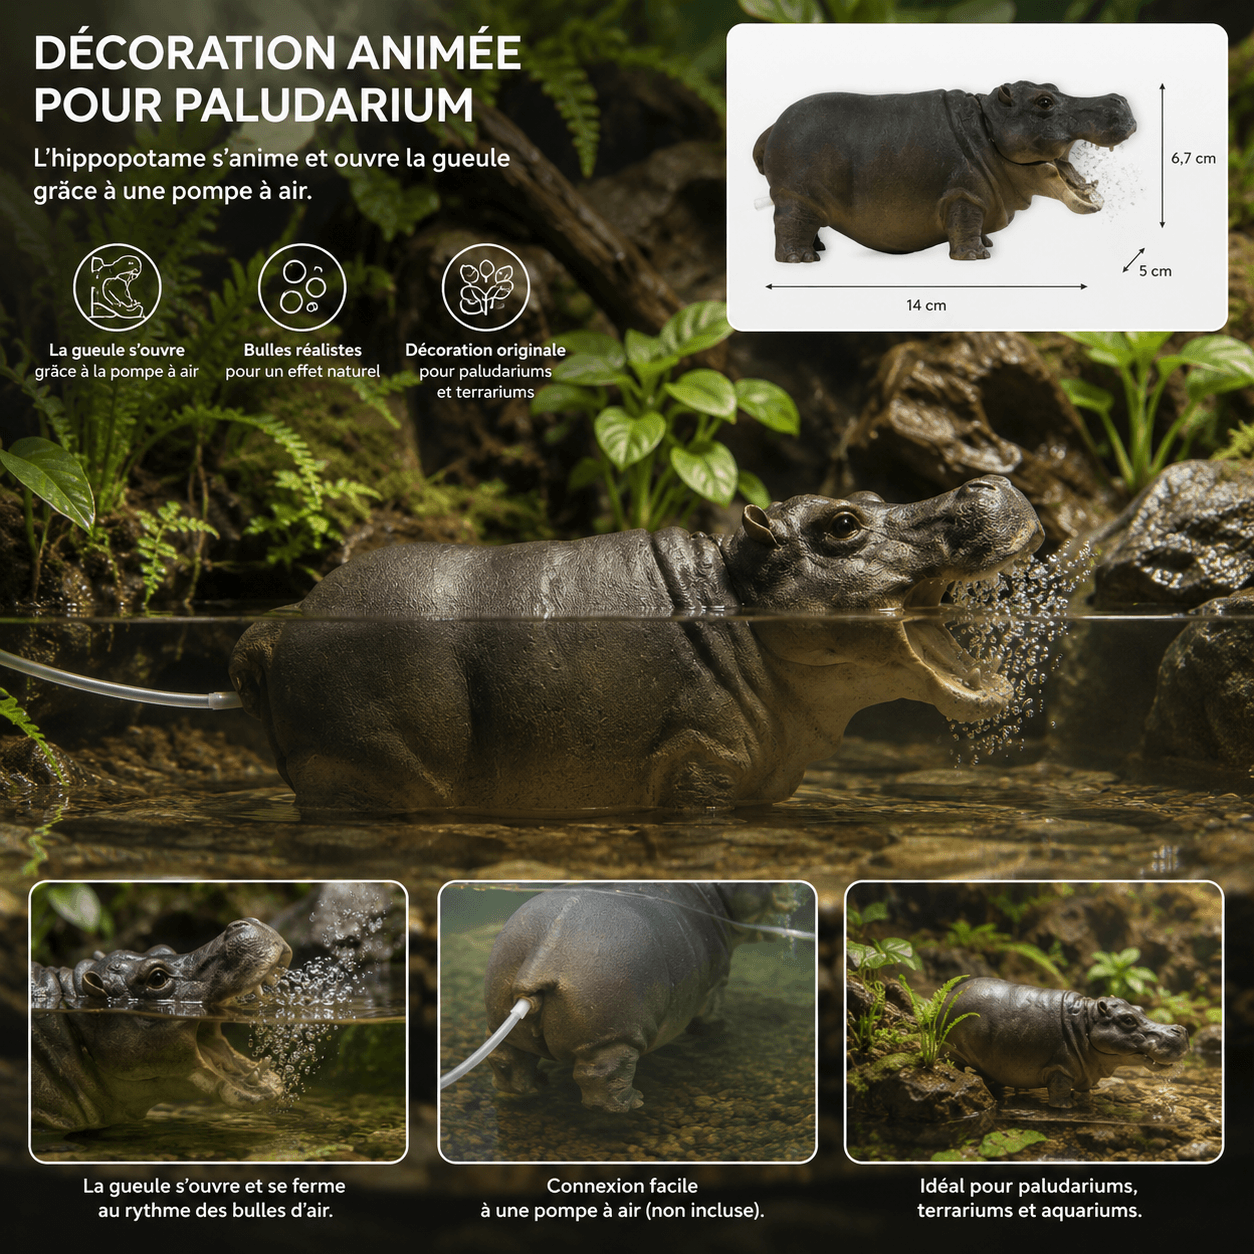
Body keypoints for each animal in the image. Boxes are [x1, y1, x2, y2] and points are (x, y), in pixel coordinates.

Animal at [230, 476, 1043, 813]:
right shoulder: (697, 761)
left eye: (871, 497)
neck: (735, 602)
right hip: (360, 766)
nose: (988, 482)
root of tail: (278, 623)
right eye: (842, 525)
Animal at [482, 882, 800, 1112]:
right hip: (613, 1035)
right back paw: (633, 1102)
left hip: (502, 1012)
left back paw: (537, 1084)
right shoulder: (718, 979)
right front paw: (719, 1030)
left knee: (505, 1058)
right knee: (600, 1075)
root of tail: (543, 951)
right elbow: (712, 1011)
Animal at [753, 81, 1137, 263]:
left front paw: (987, 244)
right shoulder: (964, 194)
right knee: (786, 223)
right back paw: (801, 259)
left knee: (806, 223)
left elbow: (972, 227)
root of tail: (772, 127)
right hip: (794, 195)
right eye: (1044, 102)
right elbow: (965, 223)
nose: (1117, 99)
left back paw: (818, 247)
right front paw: (976, 256)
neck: (988, 127)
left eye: (1053, 87)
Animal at [940, 977, 1189, 1108]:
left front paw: (1086, 1100)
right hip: (952, 1052)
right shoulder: (1060, 1067)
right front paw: (1065, 1107)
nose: (1181, 1031)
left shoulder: (1086, 1071)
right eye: (1128, 1020)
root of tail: (953, 991)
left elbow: (1084, 1088)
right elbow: (1059, 1087)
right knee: (954, 1064)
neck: (1086, 1022)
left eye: (1140, 1008)